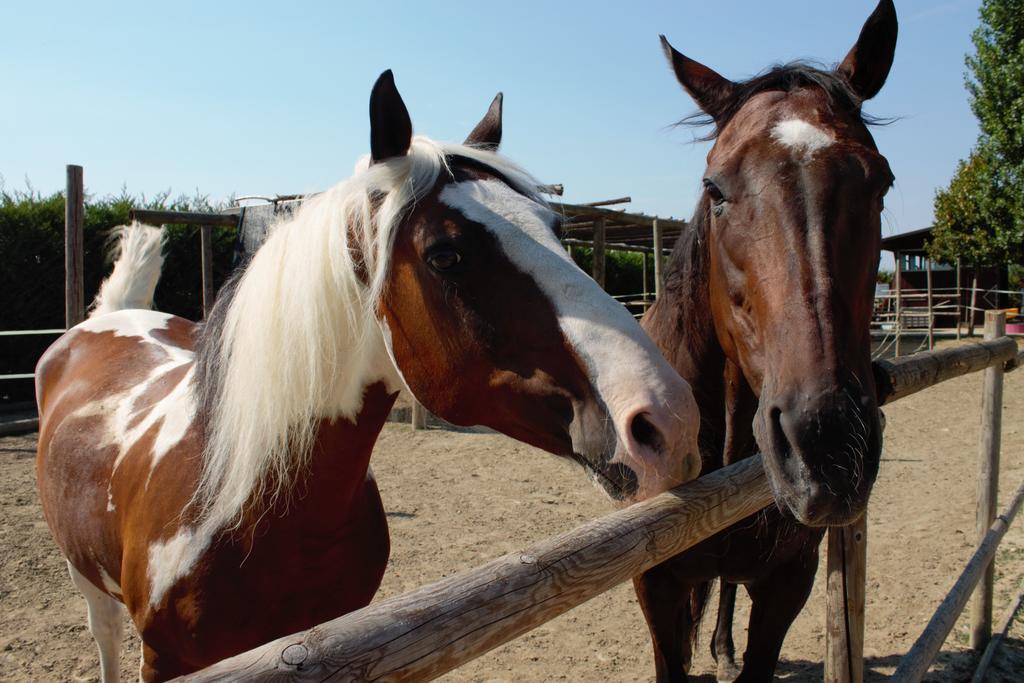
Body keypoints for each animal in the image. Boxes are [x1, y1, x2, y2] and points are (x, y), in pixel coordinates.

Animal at [34, 72, 704, 679]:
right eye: (445, 255)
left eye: (559, 230)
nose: (668, 420)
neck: (238, 506)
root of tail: (113, 317)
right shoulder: (166, 660)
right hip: (86, 581)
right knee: (103, 635)